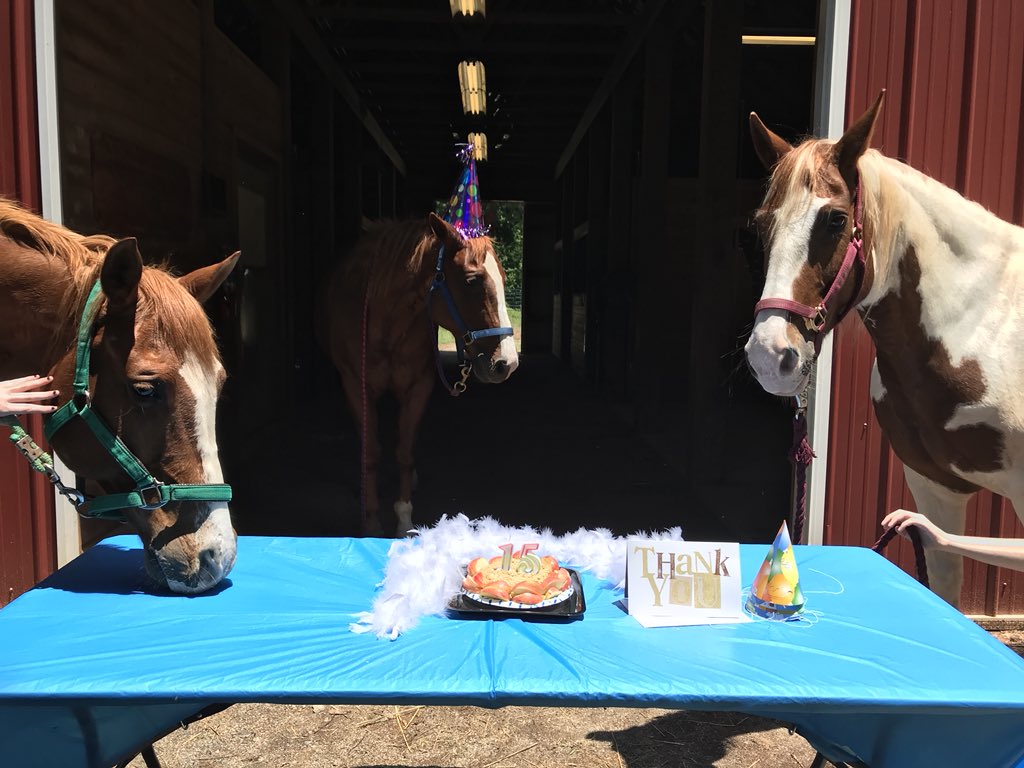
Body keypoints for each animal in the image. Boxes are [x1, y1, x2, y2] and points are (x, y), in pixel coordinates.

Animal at [323, 212, 518, 536]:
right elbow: (372, 451)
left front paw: (404, 520)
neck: (386, 321)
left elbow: (405, 451)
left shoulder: (418, 387)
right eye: (472, 281)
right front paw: (371, 520)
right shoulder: (356, 386)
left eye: (503, 280)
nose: (507, 363)